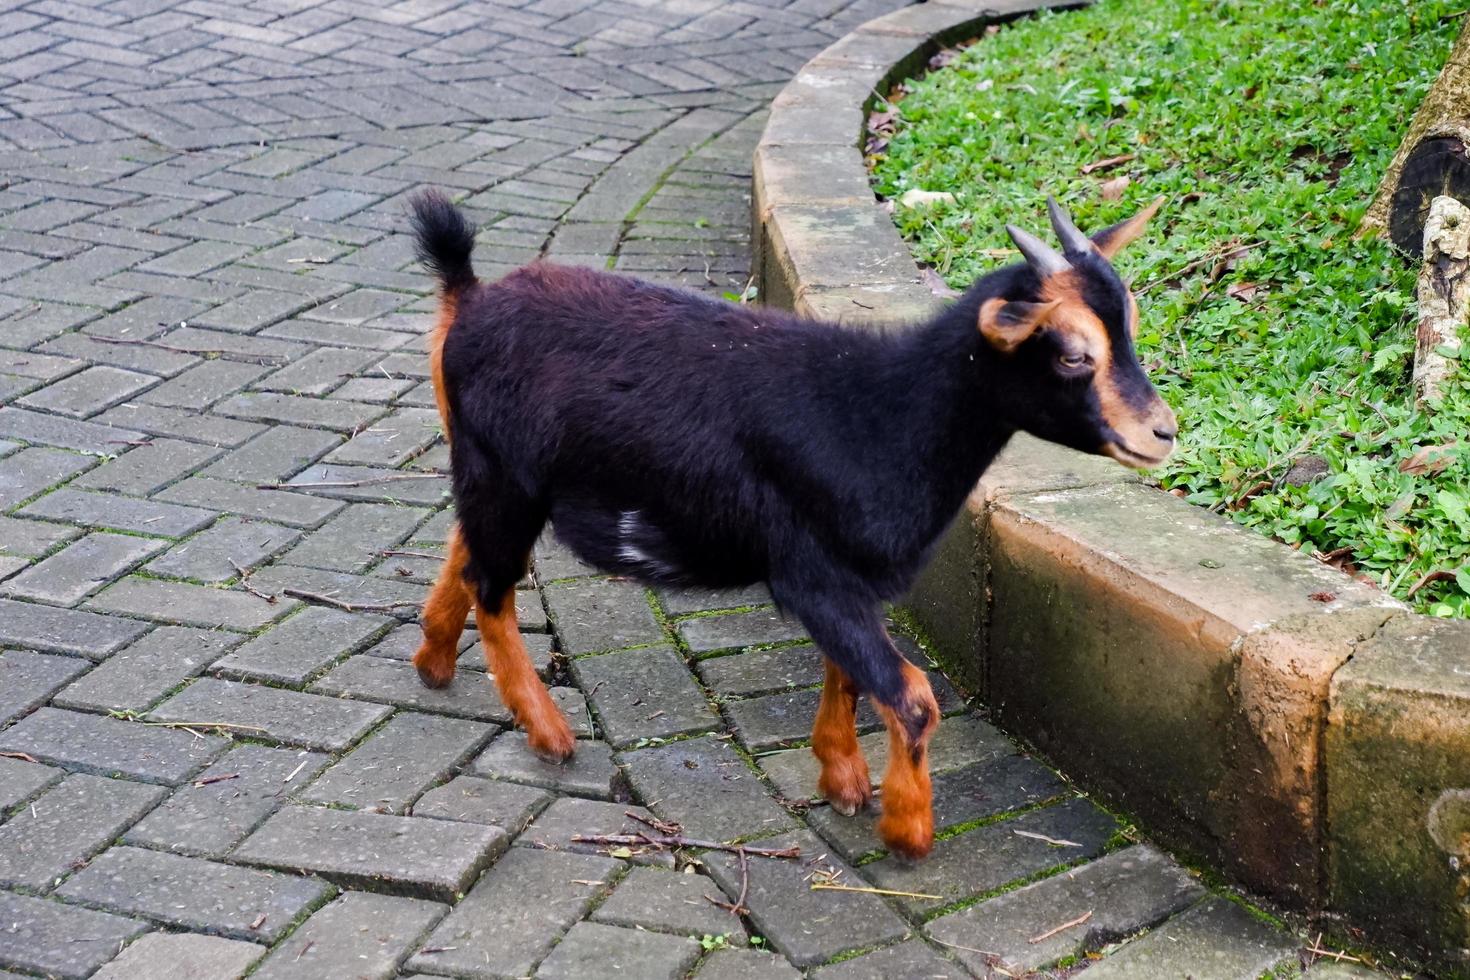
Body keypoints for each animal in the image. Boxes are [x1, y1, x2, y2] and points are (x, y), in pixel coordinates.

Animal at [408, 189, 1176, 858]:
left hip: (491, 474)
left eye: (1130, 329)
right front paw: (906, 832)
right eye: (1072, 353)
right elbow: (912, 697)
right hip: (505, 476)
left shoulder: (846, 580)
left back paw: (434, 660)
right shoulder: (813, 576)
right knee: (492, 584)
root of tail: (467, 298)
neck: (881, 414)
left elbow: (849, 674)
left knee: (464, 551)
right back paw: (547, 732)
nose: (1163, 432)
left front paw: (843, 779)